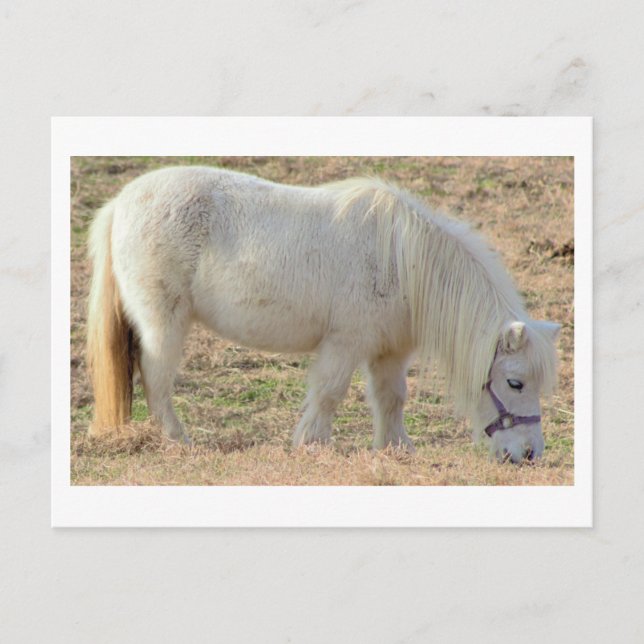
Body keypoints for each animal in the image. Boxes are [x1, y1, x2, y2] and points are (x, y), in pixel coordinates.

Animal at [86, 165, 561, 463]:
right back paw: (178, 441)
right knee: (156, 379)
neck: (402, 260)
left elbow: (391, 398)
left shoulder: (390, 353)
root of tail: (120, 204)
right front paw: (312, 445)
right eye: (515, 382)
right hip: (162, 324)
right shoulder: (345, 344)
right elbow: (330, 394)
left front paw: (396, 449)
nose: (529, 456)